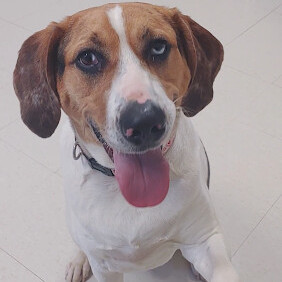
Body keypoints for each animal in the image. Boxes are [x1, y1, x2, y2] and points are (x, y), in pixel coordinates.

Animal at [12, 2, 238, 282]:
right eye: (87, 58)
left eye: (158, 47)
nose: (145, 122)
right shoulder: (105, 266)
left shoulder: (205, 239)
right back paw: (79, 259)